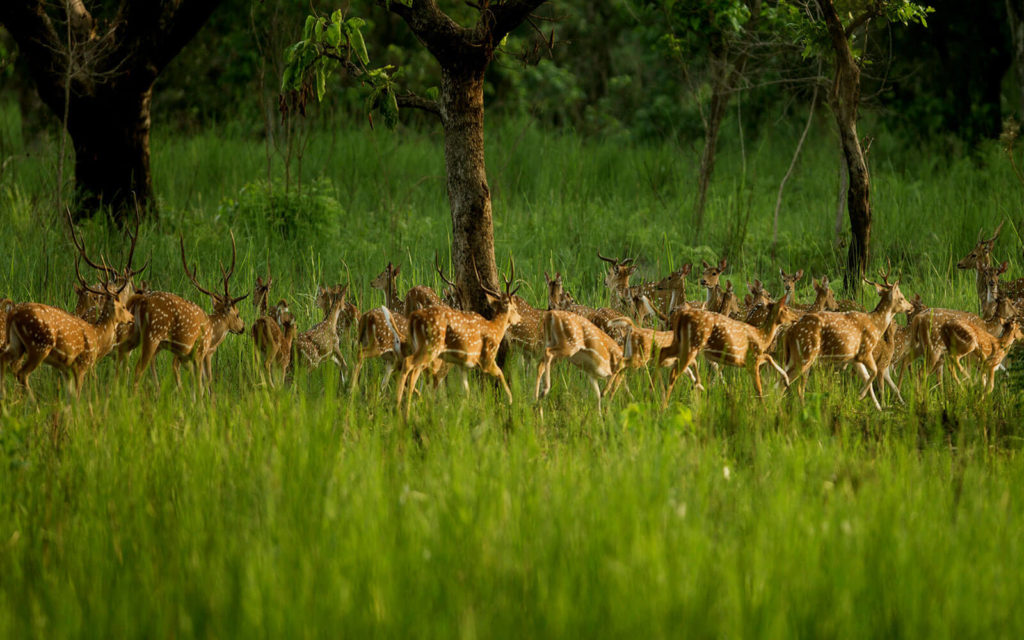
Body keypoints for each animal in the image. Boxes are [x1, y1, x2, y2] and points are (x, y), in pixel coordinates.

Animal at [129, 234, 246, 395]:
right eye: (237, 314)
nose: (243, 327)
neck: (212, 329)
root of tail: (142, 300)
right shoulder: (199, 352)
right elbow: (201, 384)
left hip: (137, 334)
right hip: (153, 334)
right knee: (138, 369)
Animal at [391, 257, 520, 417]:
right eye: (514, 308)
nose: (519, 318)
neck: (495, 329)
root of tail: (414, 318)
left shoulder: (463, 365)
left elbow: (467, 391)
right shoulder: (487, 359)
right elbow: (500, 374)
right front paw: (510, 400)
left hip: (418, 346)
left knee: (411, 368)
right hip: (430, 346)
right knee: (411, 366)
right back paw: (403, 409)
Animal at [782, 270, 913, 409]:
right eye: (901, 298)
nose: (910, 307)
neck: (875, 325)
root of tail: (790, 331)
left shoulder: (855, 358)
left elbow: (868, 377)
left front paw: (877, 406)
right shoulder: (865, 352)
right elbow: (874, 373)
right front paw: (862, 395)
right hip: (805, 355)